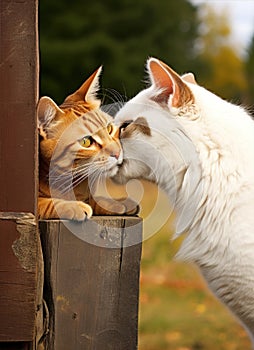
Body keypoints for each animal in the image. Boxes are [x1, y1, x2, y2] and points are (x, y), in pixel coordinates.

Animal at [37, 67, 137, 220]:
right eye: (86, 141)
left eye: (109, 128)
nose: (117, 152)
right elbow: (45, 203)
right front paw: (73, 206)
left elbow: (95, 200)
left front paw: (114, 203)